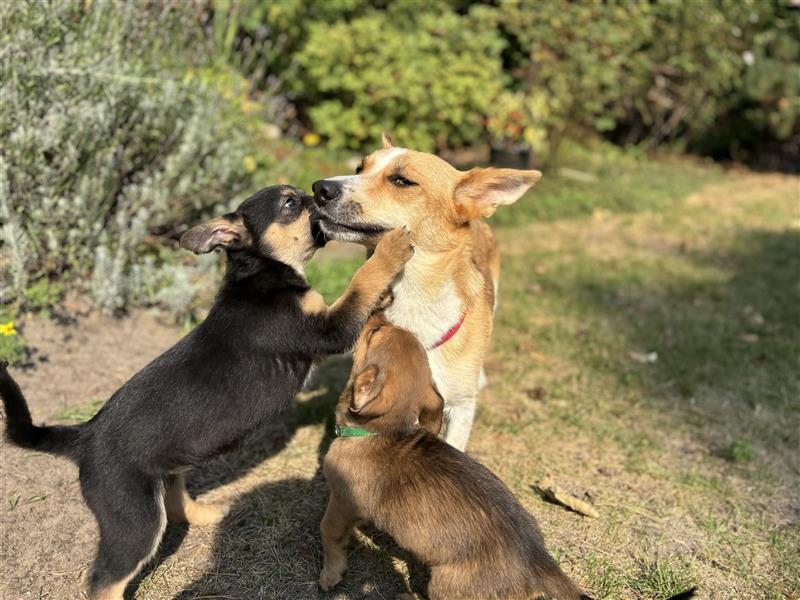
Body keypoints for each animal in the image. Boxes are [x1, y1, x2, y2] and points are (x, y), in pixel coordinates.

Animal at [0, 185, 412, 596]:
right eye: (290, 203)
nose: (319, 191)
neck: (260, 270)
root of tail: (85, 435)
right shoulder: (329, 329)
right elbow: (361, 282)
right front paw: (391, 246)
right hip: (134, 518)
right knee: (105, 579)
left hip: (165, 471)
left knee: (176, 502)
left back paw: (211, 512)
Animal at [318, 314, 588, 600]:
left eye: (375, 331)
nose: (377, 312)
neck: (380, 431)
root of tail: (537, 559)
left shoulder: (342, 501)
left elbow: (328, 533)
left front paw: (330, 575)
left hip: (443, 581)